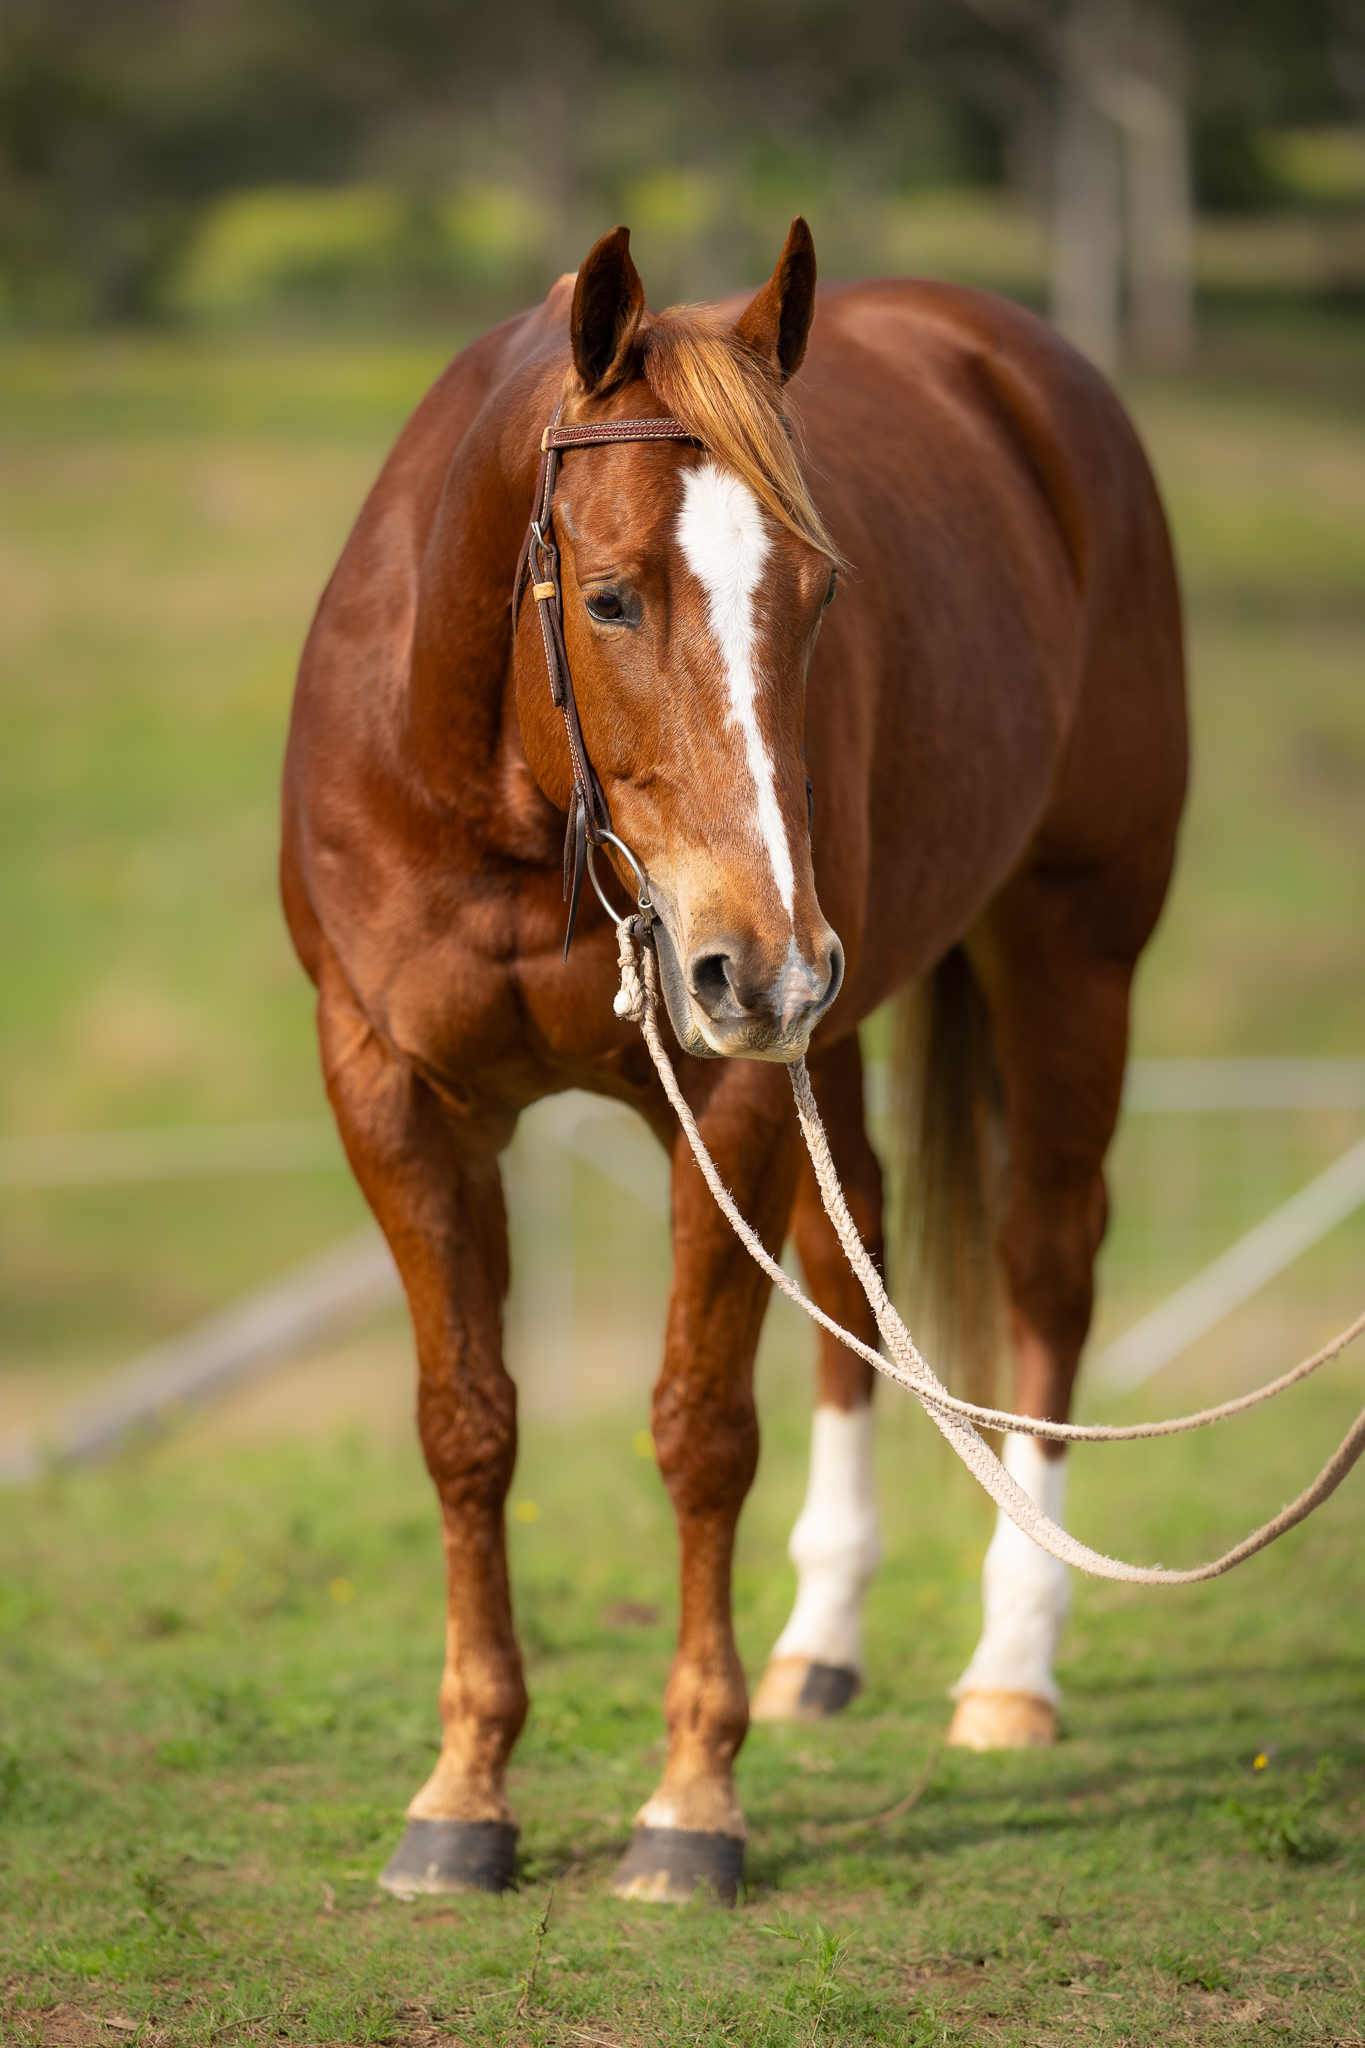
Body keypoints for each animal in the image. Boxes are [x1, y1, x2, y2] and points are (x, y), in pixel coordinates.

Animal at [281, 218, 1186, 1905]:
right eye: (612, 600)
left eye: (819, 595)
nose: (760, 960)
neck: (521, 821)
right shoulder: (396, 1096)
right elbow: (466, 1427)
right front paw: (463, 1794)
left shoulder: (735, 1092)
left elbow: (700, 1433)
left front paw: (690, 1806)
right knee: (856, 1262)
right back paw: (820, 1644)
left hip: (1062, 953)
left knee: (1045, 1261)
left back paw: (1011, 1668)